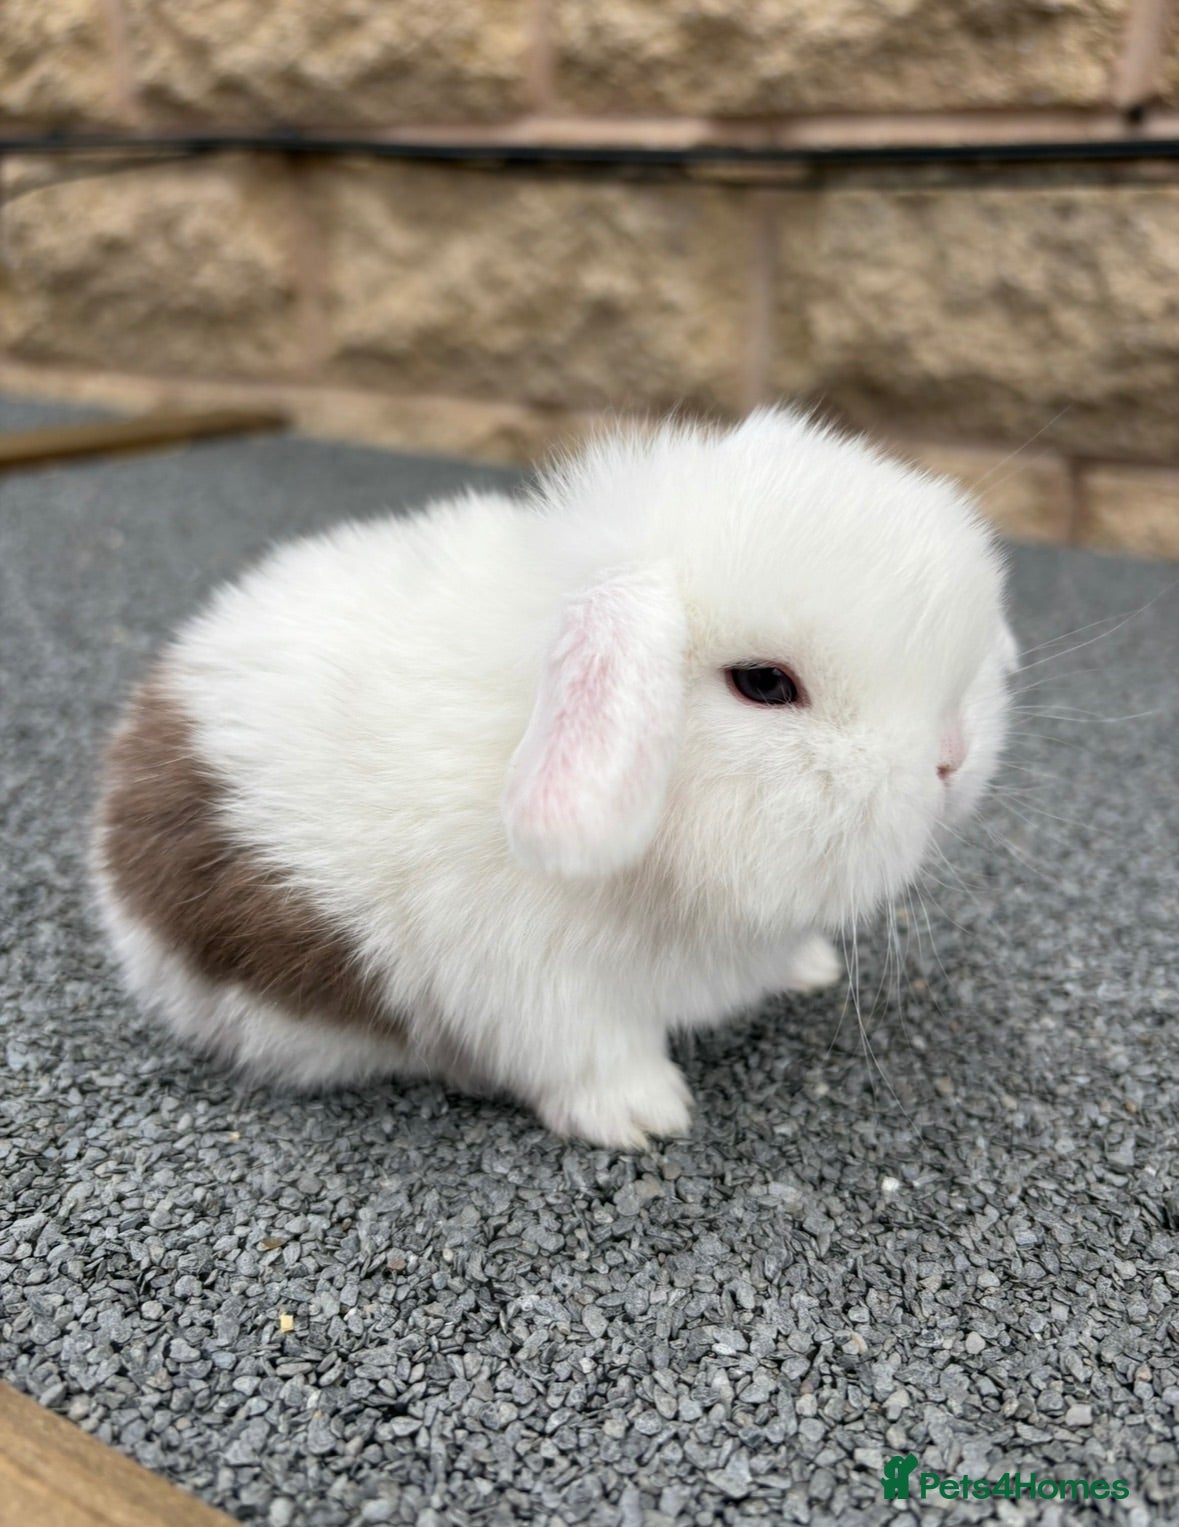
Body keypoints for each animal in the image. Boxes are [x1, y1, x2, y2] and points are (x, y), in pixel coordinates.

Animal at [93, 407, 1015, 1148]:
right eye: (763, 683)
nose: (952, 755)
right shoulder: (535, 986)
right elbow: (588, 1056)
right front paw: (646, 1116)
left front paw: (809, 967)